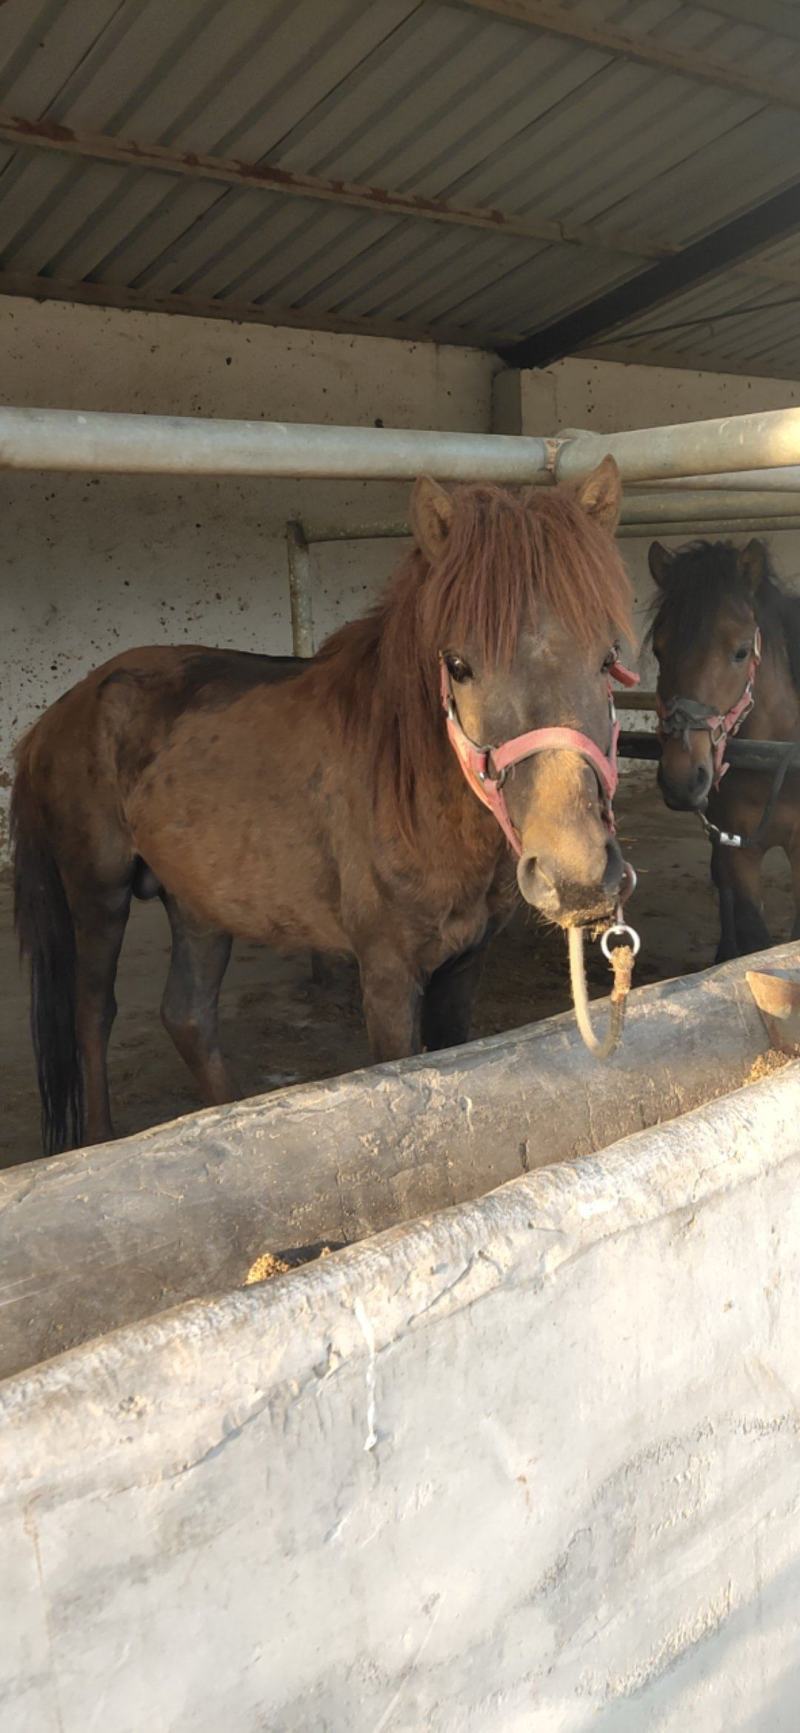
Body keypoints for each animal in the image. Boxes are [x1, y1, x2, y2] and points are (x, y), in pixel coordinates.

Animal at [13, 458, 633, 1156]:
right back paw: (101, 1140)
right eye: (457, 664)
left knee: (188, 1014)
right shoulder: (388, 971)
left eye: (608, 657)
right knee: (93, 1012)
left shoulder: (465, 964)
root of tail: (61, 712)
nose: (577, 875)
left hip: (198, 901)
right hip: (99, 894)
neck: (412, 792)